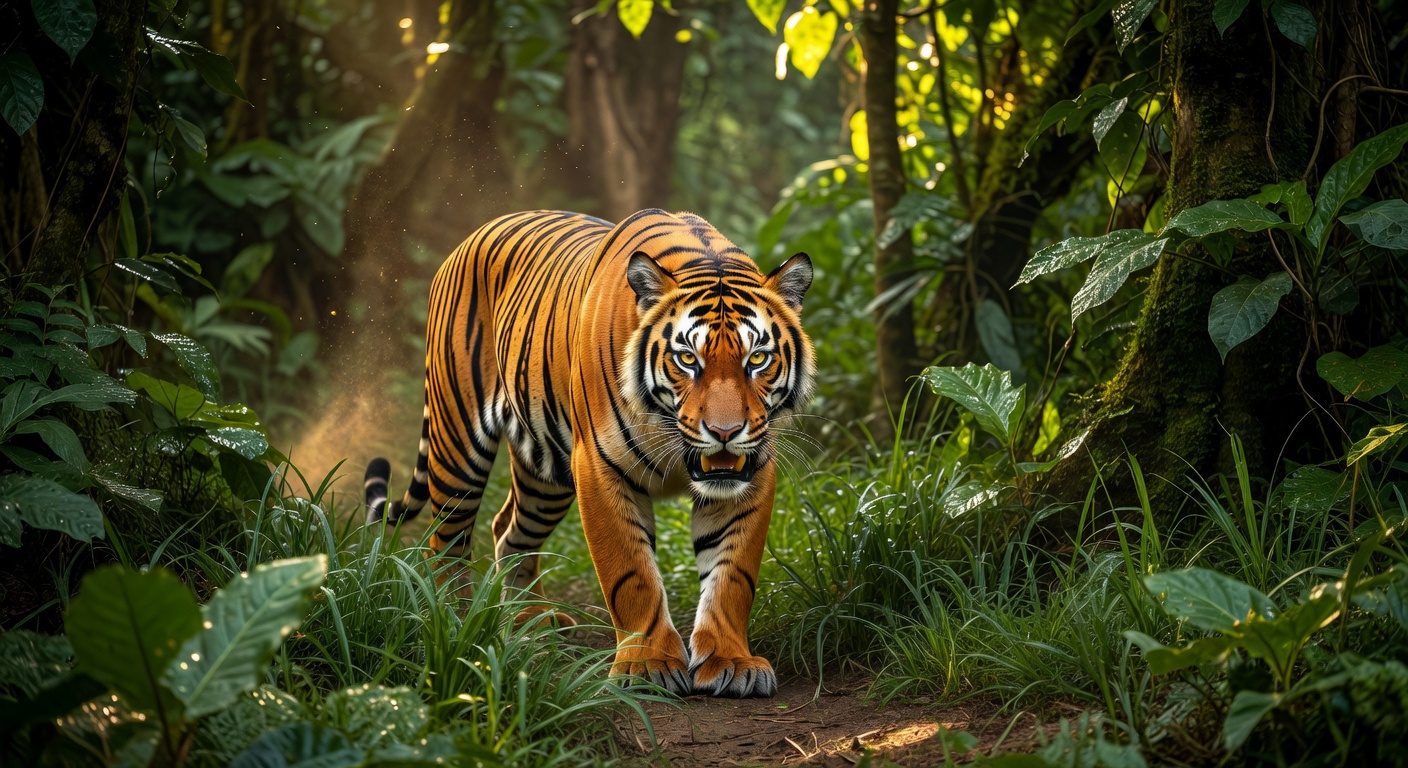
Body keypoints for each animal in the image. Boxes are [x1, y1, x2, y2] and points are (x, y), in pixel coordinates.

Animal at [363, 209, 814, 697]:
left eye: (758, 359)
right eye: (687, 359)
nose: (725, 432)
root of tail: (473, 235)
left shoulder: (752, 472)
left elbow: (732, 575)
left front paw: (730, 661)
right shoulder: (598, 466)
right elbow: (631, 572)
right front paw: (648, 664)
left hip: (546, 474)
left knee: (509, 532)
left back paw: (527, 622)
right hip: (458, 445)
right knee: (445, 541)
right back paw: (455, 627)